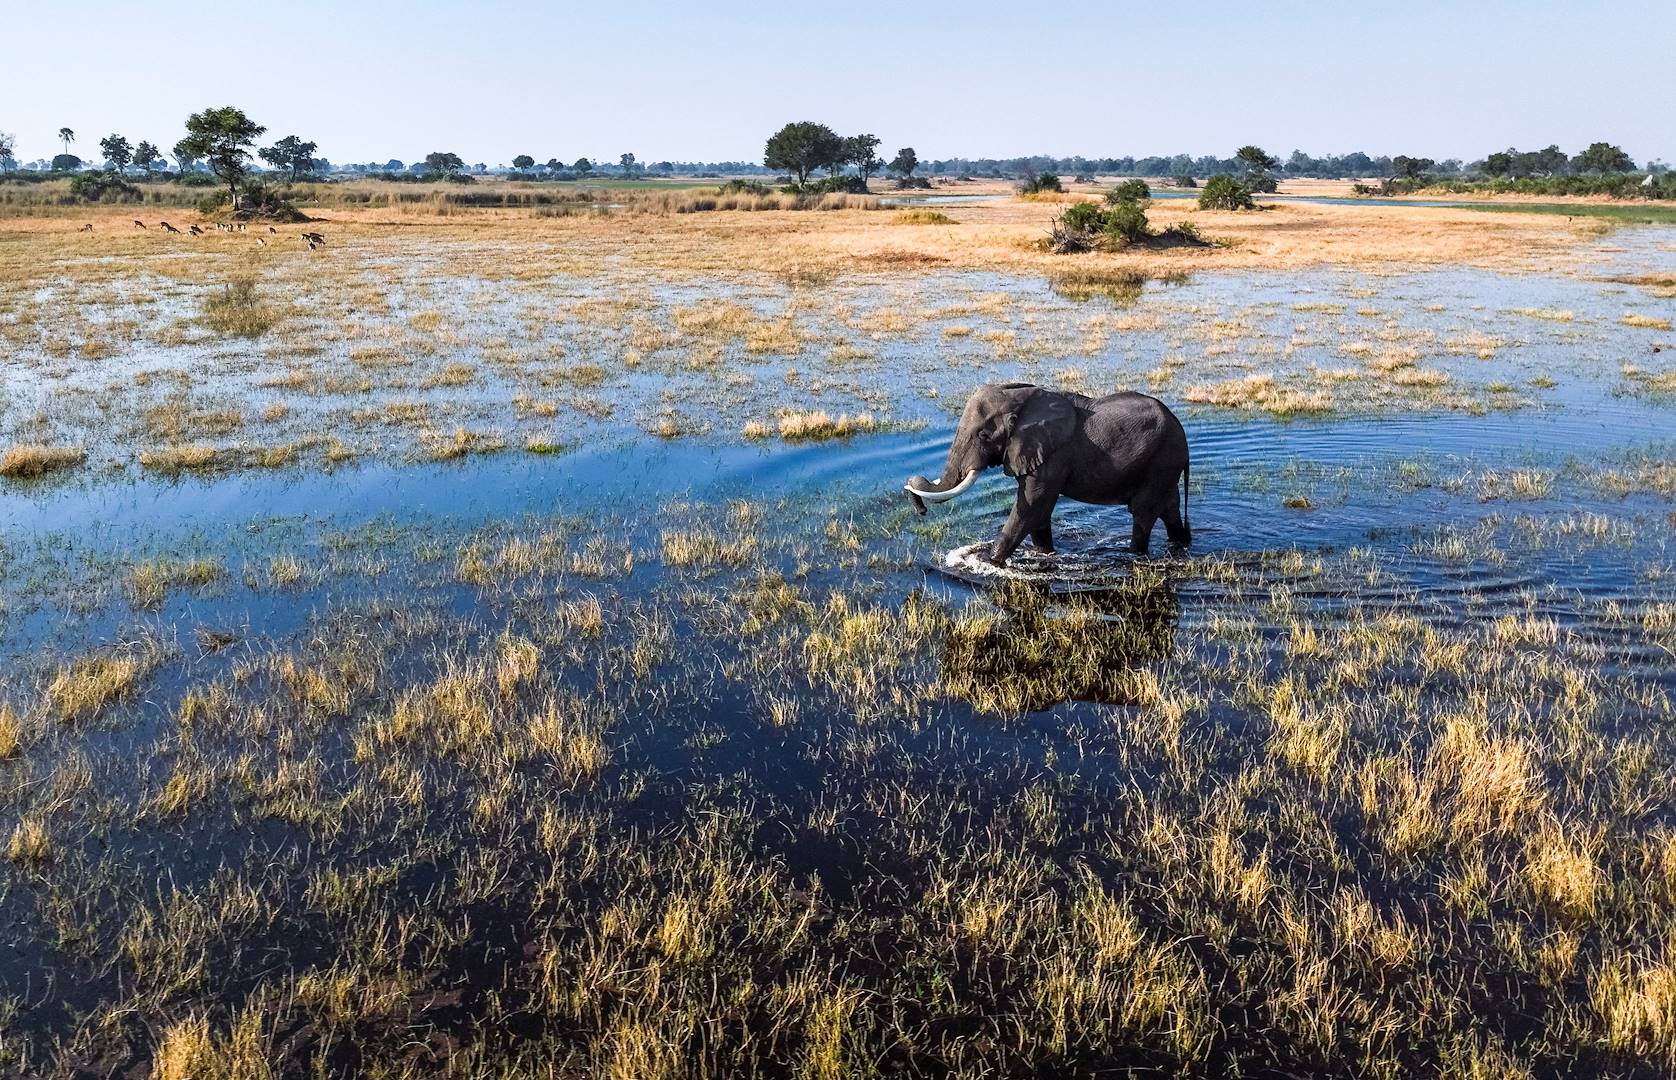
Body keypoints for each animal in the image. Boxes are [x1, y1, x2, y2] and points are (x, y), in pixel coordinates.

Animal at [905, 382, 1191, 566]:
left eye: (983, 435)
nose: (921, 510)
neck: (1021, 401)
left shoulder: (1053, 454)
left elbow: (1032, 505)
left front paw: (987, 561)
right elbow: (1038, 512)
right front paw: (1043, 555)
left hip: (1161, 461)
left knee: (1142, 514)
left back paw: (1134, 557)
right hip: (1164, 465)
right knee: (1170, 510)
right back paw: (1181, 545)